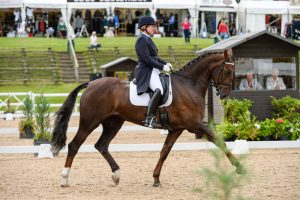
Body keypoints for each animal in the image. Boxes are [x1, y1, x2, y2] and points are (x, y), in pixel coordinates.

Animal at [51, 48, 244, 188]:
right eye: (228, 70)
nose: (225, 95)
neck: (189, 85)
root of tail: (91, 83)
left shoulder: (177, 128)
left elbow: (164, 152)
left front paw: (156, 178)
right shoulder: (194, 125)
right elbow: (219, 141)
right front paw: (240, 167)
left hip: (113, 123)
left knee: (102, 145)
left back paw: (116, 175)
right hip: (90, 122)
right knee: (74, 145)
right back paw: (64, 179)